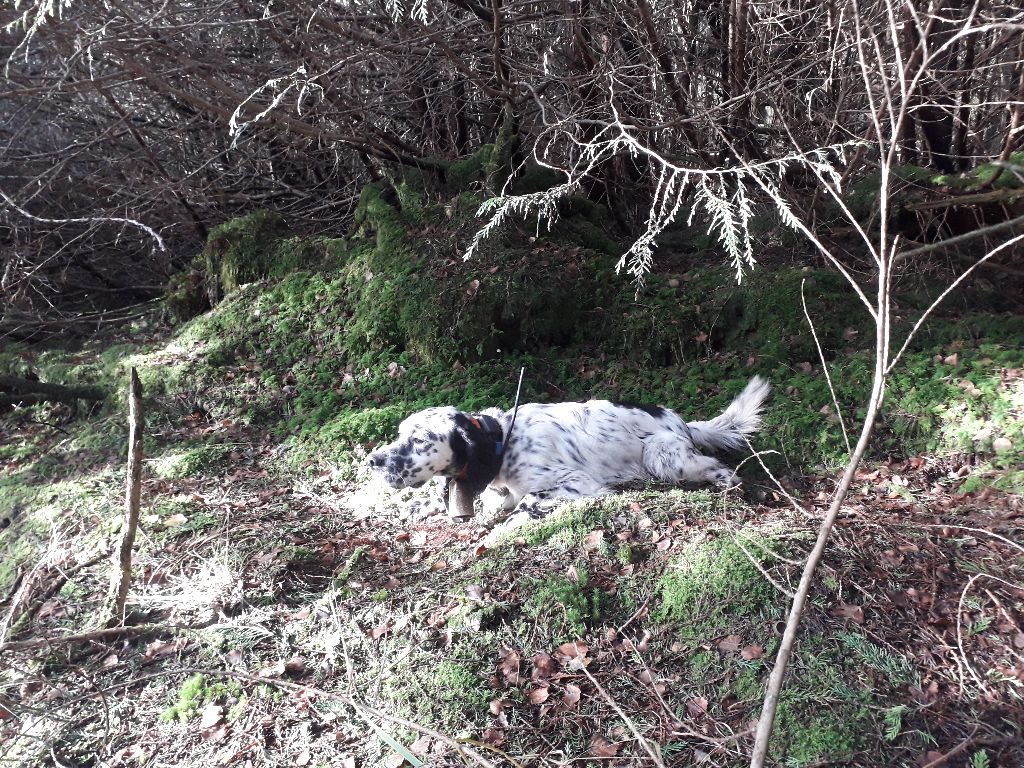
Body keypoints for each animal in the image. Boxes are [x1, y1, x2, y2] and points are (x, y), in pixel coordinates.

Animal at [367, 376, 769, 536]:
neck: (503, 441)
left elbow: (526, 502)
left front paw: (506, 528)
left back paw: (733, 486)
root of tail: (682, 421)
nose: (373, 461)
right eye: (400, 433)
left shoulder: (576, 482)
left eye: (421, 439)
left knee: (719, 468)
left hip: (663, 456)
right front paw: (415, 507)